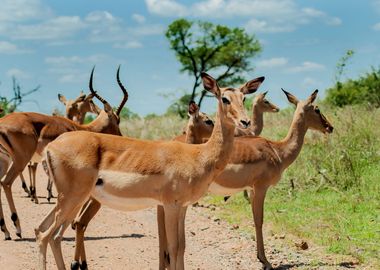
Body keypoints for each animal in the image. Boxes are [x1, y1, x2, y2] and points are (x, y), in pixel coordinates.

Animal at [0, 67, 128, 240]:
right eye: (117, 119)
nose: (121, 136)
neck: (81, 128)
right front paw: (72, 222)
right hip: (20, 160)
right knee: (6, 183)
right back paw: (17, 228)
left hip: (6, 160)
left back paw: (6, 230)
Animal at [34, 72, 262, 270]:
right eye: (224, 98)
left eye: (243, 97)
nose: (245, 122)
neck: (199, 155)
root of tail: (52, 147)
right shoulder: (170, 206)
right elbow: (173, 247)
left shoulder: (182, 207)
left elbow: (182, 247)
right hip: (73, 198)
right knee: (47, 235)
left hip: (70, 201)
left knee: (45, 232)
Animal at [160, 89, 332, 270]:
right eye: (317, 109)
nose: (330, 127)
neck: (277, 150)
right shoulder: (261, 188)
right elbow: (259, 220)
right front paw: (265, 261)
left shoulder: (250, 189)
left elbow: (255, 219)